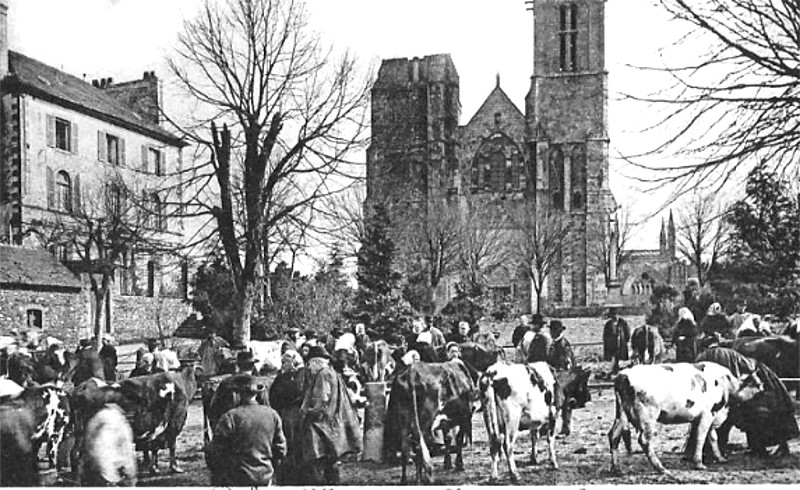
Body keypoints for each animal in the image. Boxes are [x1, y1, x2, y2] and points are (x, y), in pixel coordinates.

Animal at [608, 362, 764, 472]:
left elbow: (712, 437)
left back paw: (616, 468)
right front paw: (699, 463)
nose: (764, 391)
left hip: (622, 414)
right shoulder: (707, 414)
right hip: (647, 416)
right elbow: (701, 437)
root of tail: (623, 375)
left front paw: (720, 458)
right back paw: (660, 468)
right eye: (758, 384)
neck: (725, 383)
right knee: (645, 440)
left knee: (614, 435)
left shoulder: (711, 416)